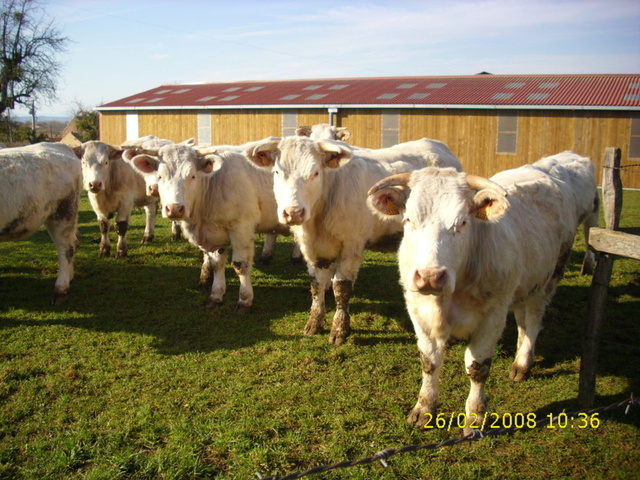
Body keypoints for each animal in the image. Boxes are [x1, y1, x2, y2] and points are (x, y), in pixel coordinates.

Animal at [125, 141, 292, 311]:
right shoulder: (215, 234)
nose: (174, 209)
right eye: (160, 176)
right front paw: (216, 295)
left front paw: (245, 300)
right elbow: (216, 264)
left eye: (192, 176)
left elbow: (241, 265)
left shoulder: (242, 229)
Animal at [244, 135, 462, 345]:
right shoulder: (313, 249)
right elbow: (316, 284)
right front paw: (314, 322)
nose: (293, 212)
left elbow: (341, 288)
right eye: (277, 172)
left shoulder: (352, 246)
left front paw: (339, 330)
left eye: (315, 173)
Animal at [367, 152, 598, 432]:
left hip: (548, 279)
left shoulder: (492, 317)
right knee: (522, 320)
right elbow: (429, 362)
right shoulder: (418, 311)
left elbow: (478, 368)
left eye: (463, 222)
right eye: (408, 219)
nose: (430, 276)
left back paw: (523, 362)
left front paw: (475, 417)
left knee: (533, 322)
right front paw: (424, 408)